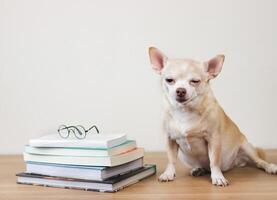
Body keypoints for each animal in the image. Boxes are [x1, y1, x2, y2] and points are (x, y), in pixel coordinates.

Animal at [149, 47, 276, 186]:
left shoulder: (213, 139)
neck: (184, 111)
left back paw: (270, 167)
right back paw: (198, 169)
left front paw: (217, 177)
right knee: (203, 166)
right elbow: (171, 160)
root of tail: (236, 163)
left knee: (259, 161)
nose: (181, 90)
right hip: (185, 157)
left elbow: (214, 161)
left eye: (195, 81)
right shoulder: (170, 140)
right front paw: (168, 173)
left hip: (247, 147)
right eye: (169, 80)